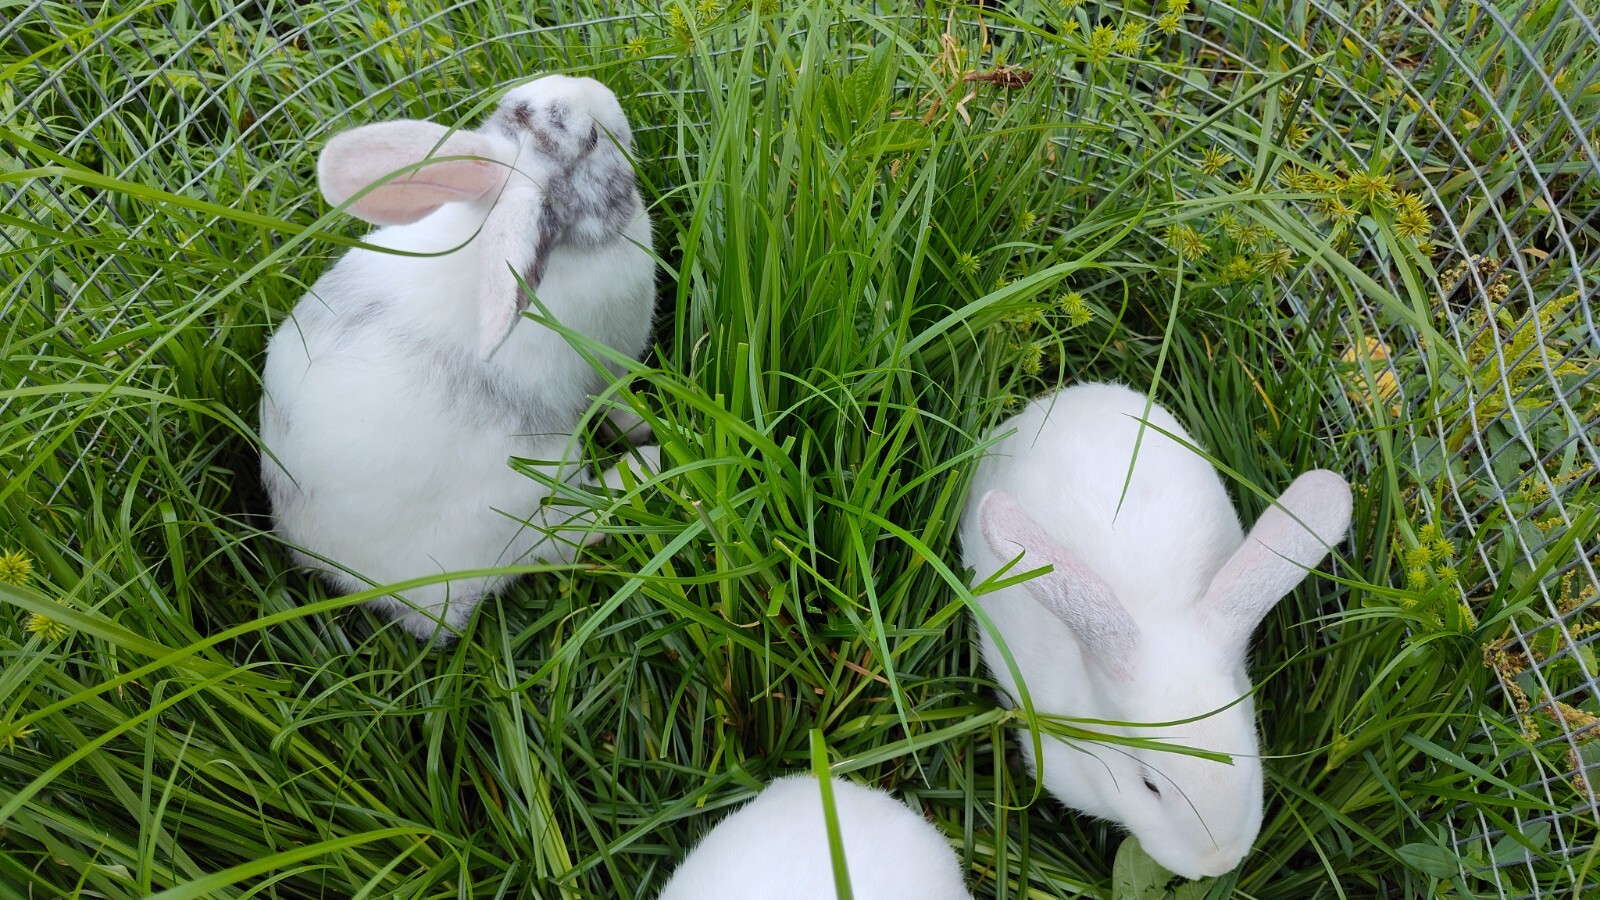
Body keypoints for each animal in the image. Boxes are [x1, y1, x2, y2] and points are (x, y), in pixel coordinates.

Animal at [259, 74, 659, 644]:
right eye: (591, 141)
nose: (597, 87)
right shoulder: (613, 364)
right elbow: (621, 406)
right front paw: (646, 429)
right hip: (529, 487)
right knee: (564, 535)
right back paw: (646, 466)